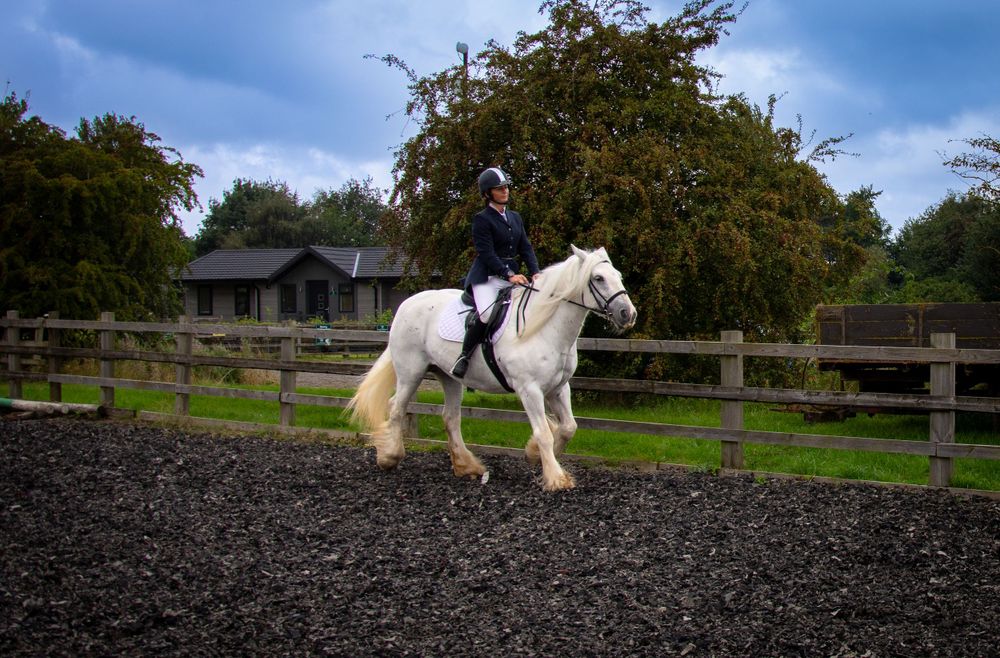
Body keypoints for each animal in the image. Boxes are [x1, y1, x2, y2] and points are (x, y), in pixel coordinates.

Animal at [347, 246, 637, 491]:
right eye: (598, 278)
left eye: (618, 276)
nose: (628, 314)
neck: (545, 328)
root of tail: (406, 305)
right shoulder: (529, 389)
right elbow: (544, 432)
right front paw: (556, 478)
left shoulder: (558, 387)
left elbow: (568, 427)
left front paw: (535, 456)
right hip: (411, 371)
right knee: (397, 407)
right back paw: (390, 457)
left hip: (448, 376)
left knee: (450, 417)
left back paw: (466, 466)